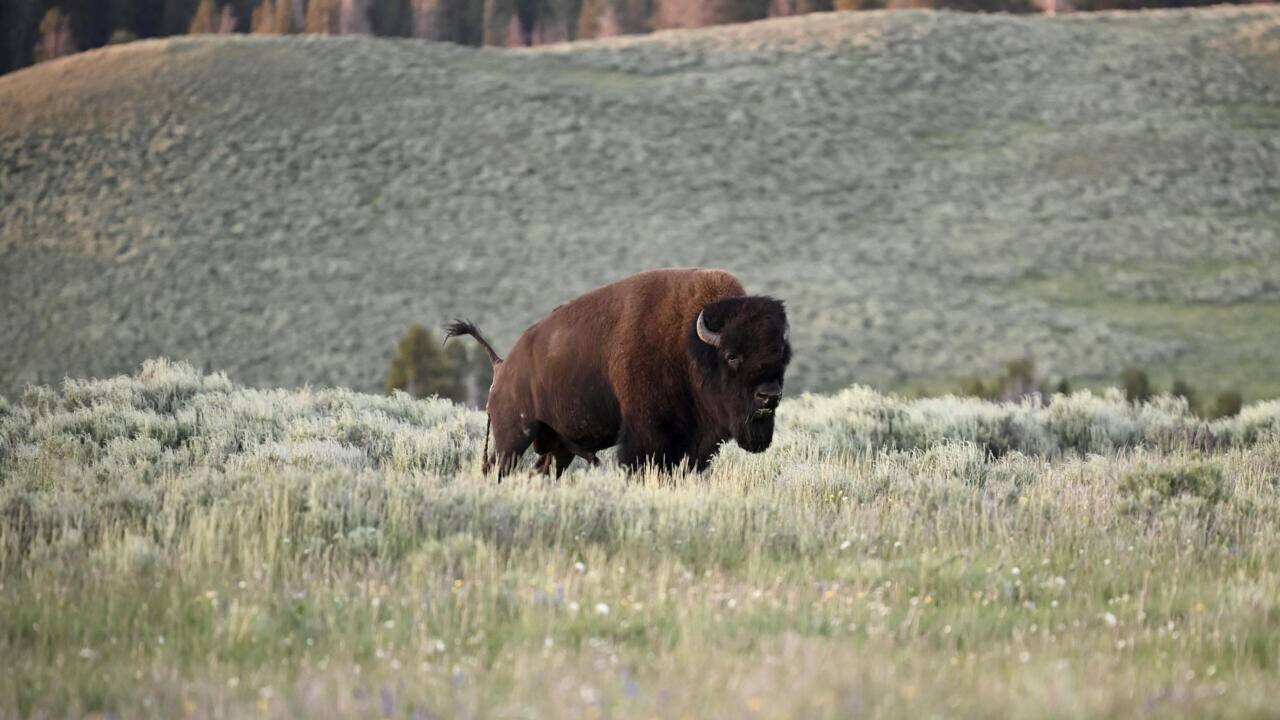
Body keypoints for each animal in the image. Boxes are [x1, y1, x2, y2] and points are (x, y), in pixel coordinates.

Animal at [445, 268, 791, 477]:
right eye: (732, 356)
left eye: (782, 356)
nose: (769, 396)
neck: (688, 344)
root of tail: (503, 364)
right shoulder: (645, 438)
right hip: (513, 436)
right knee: (499, 468)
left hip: (557, 445)